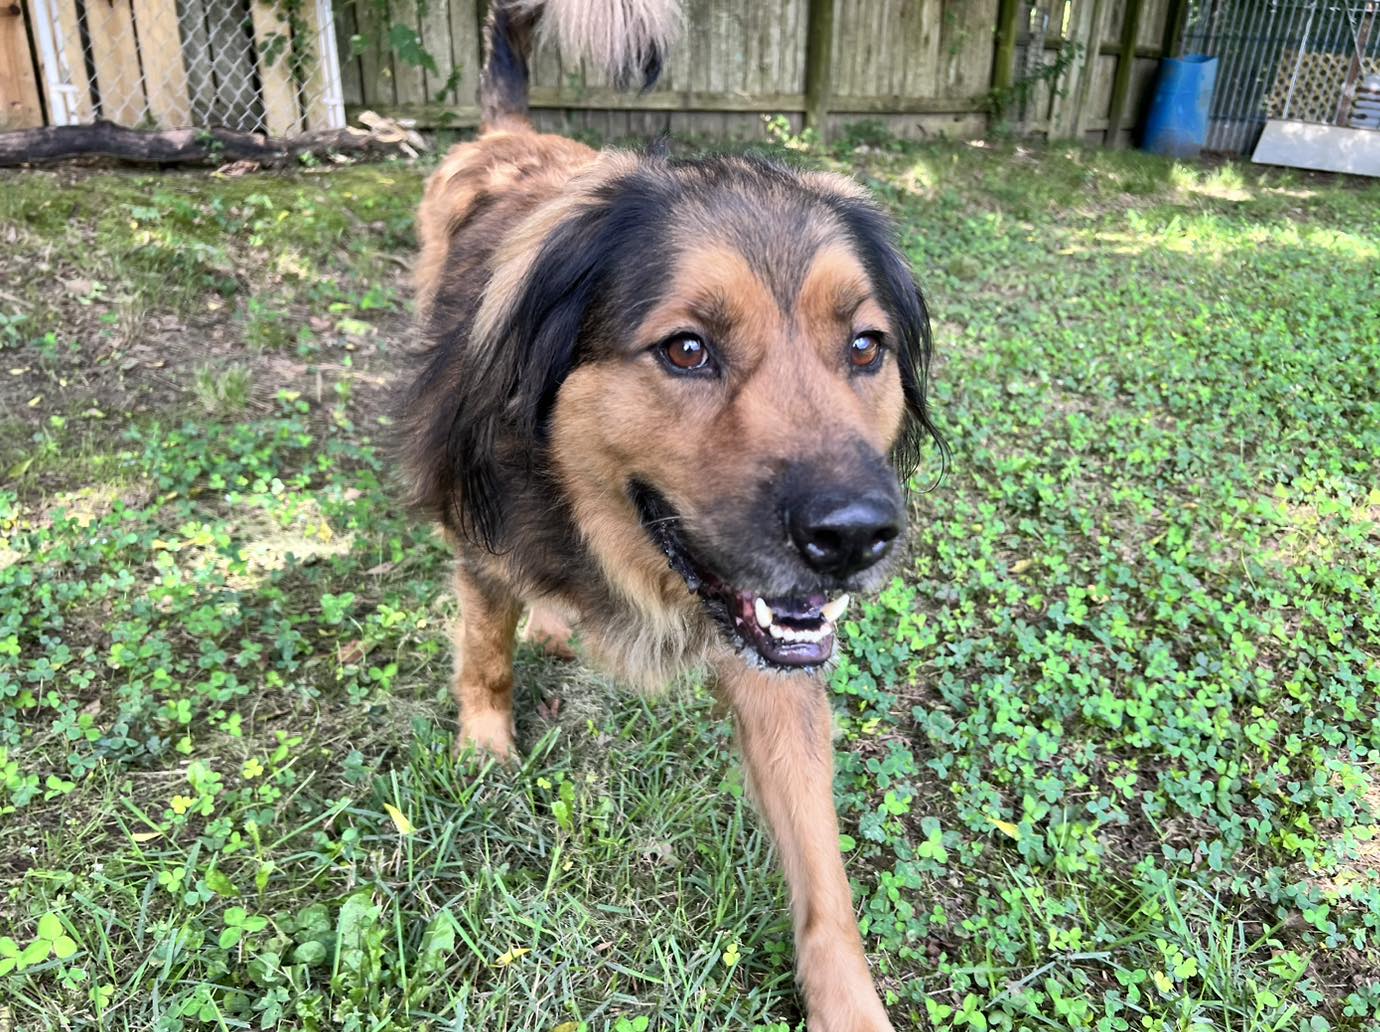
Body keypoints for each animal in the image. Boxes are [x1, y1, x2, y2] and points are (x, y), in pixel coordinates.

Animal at [394, 4, 943, 1026]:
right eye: (687, 350)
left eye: (866, 347)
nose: (855, 538)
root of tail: (510, 135)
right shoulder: (483, 537)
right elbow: (485, 653)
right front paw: (485, 753)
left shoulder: (773, 654)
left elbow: (822, 864)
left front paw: (848, 1001)